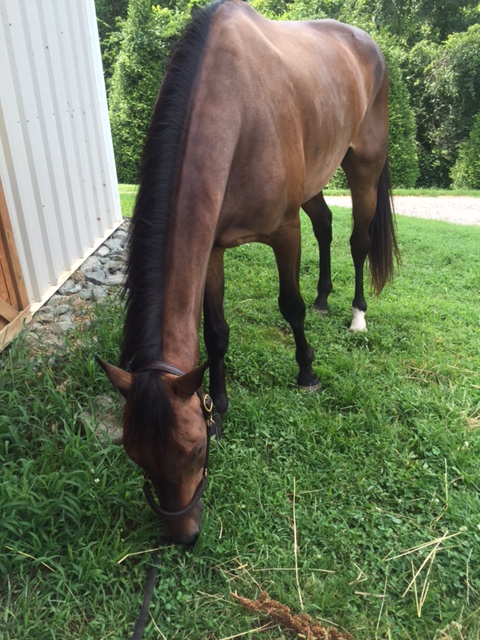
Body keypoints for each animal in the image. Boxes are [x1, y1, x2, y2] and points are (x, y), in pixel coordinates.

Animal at [98, 0, 399, 545]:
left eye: (195, 452)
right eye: (135, 455)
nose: (184, 535)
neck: (234, 114)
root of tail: (366, 42)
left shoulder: (283, 232)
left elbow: (289, 306)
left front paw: (306, 372)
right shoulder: (213, 247)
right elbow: (215, 331)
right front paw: (218, 403)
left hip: (364, 165)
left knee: (357, 242)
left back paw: (356, 315)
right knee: (325, 224)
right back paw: (326, 298)